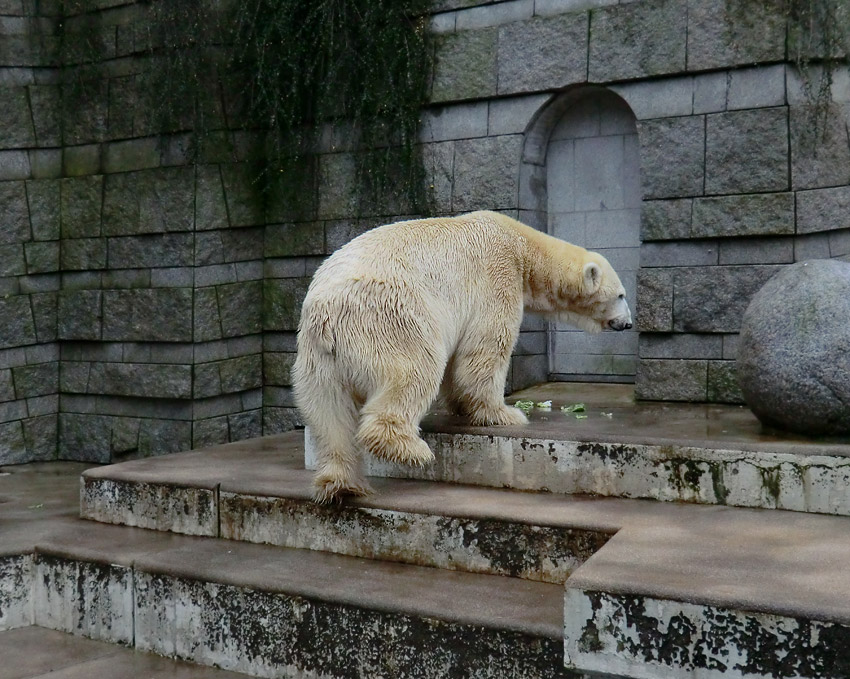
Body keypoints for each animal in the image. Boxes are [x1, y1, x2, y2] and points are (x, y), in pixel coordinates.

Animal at [294, 210, 628, 502]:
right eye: (622, 295)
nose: (628, 323)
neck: (521, 245)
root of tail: (326, 314)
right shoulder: (497, 277)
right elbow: (485, 349)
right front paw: (504, 414)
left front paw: (462, 407)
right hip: (391, 318)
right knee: (414, 370)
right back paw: (409, 448)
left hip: (316, 358)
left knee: (329, 414)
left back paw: (341, 485)